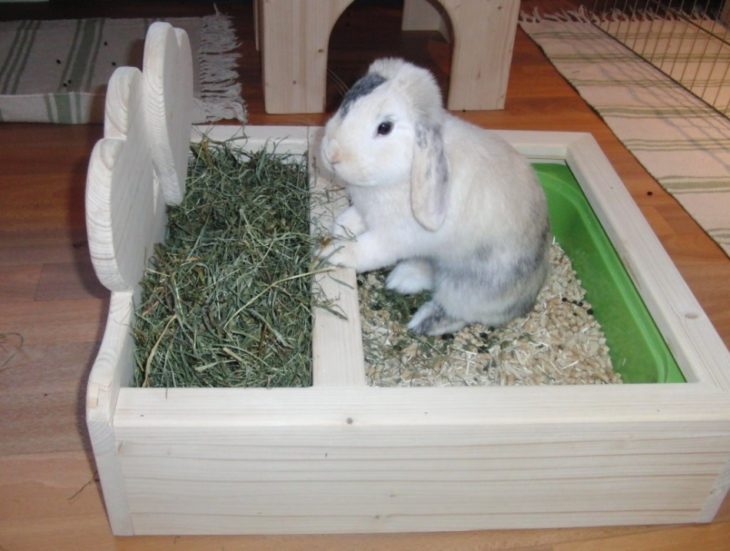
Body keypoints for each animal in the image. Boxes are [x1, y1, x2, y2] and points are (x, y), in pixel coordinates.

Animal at [318, 57, 550, 336]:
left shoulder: (392, 237)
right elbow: (353, 219)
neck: (403, 174)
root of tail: (534, 288)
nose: (331, 154)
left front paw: (334, 254)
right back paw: (402, 279)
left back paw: (422, 322)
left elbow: (366, 249)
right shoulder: (366, 212)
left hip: (468, 287)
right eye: (346, 103)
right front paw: (339, 228)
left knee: (461, 312)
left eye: (384, 128)